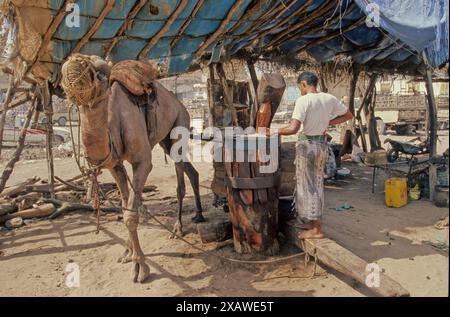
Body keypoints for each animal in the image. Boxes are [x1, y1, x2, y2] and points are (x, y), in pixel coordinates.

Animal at [61, 54, 204, 282]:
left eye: (101, 73)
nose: (73, 65)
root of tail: (181, 104)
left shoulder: (142, 162)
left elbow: (130, 215)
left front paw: (139, 267)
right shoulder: (114, 164)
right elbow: (124, 205)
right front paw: (127, 253)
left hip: (180, 124)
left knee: (180, 177)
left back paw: (178, 227)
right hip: (165, 140)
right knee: (191, 171)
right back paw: (197, 216)